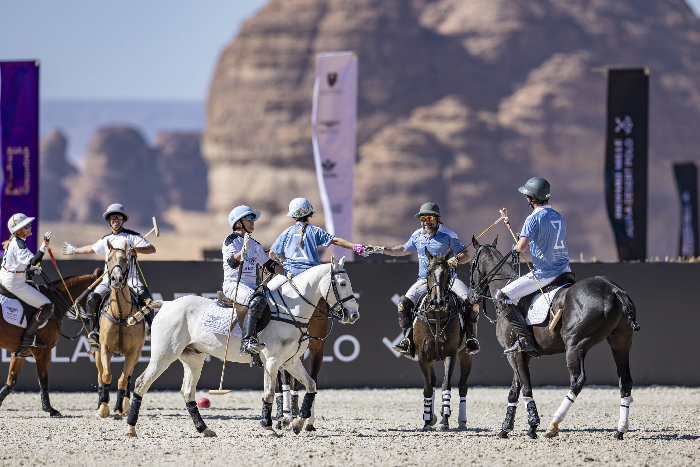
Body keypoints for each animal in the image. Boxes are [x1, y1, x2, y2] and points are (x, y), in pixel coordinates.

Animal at [0, 266, 100, 416]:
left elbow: (11, 381)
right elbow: (43, 380)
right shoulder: (43, 351)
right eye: (97, 299)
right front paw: (49, 409)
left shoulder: (20, 352)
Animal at [95, 241, 161, 420]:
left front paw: (118, 409)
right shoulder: (105, 348)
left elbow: (123, 380)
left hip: (137, 352)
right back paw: (100, 402)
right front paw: (103, 408)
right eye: (109, 259)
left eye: (125, 259)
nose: (116, 279)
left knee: (129, 377)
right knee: (100, 374)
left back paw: (124, 405)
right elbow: (106, 375)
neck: (120, 314)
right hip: (96, 350)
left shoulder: (132, 352)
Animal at [123, 256, 360, 438]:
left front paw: (298, 423)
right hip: (164, 354)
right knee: (141, 384)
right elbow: (268, 394)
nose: (353, 315)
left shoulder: (290, 362)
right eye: (342, 283)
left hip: (193, 358)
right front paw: (268, 427)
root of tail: (166, 304)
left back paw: (204, 429)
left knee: (187, 392)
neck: (291, 310)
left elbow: (310, 385)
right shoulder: (272, 361)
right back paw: (131, 429)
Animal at [412, 249, 474, 432]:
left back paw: (461, 420)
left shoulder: (450, 354)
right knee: (432, 382)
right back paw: (431, 415)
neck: (437, 315)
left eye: (447, 272)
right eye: (428, 272)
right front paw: (427, 420)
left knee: (462, 386)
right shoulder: (423, 356)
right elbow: (427, 388)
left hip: (465, 353)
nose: (438, 302)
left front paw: (445, 419)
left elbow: (446, 384)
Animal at [468, 239, 636, 440]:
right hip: (621, 342)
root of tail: (613, 289)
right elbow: (514, 390)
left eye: (471, 264)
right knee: (625, 380)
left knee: (577, 380)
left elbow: (525, 388)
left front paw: (532, 426)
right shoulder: (522, 355)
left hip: (575, 344)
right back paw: (620, 430)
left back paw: (553, 424)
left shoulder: (513, 354)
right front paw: (506, 428)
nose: (471, 296)